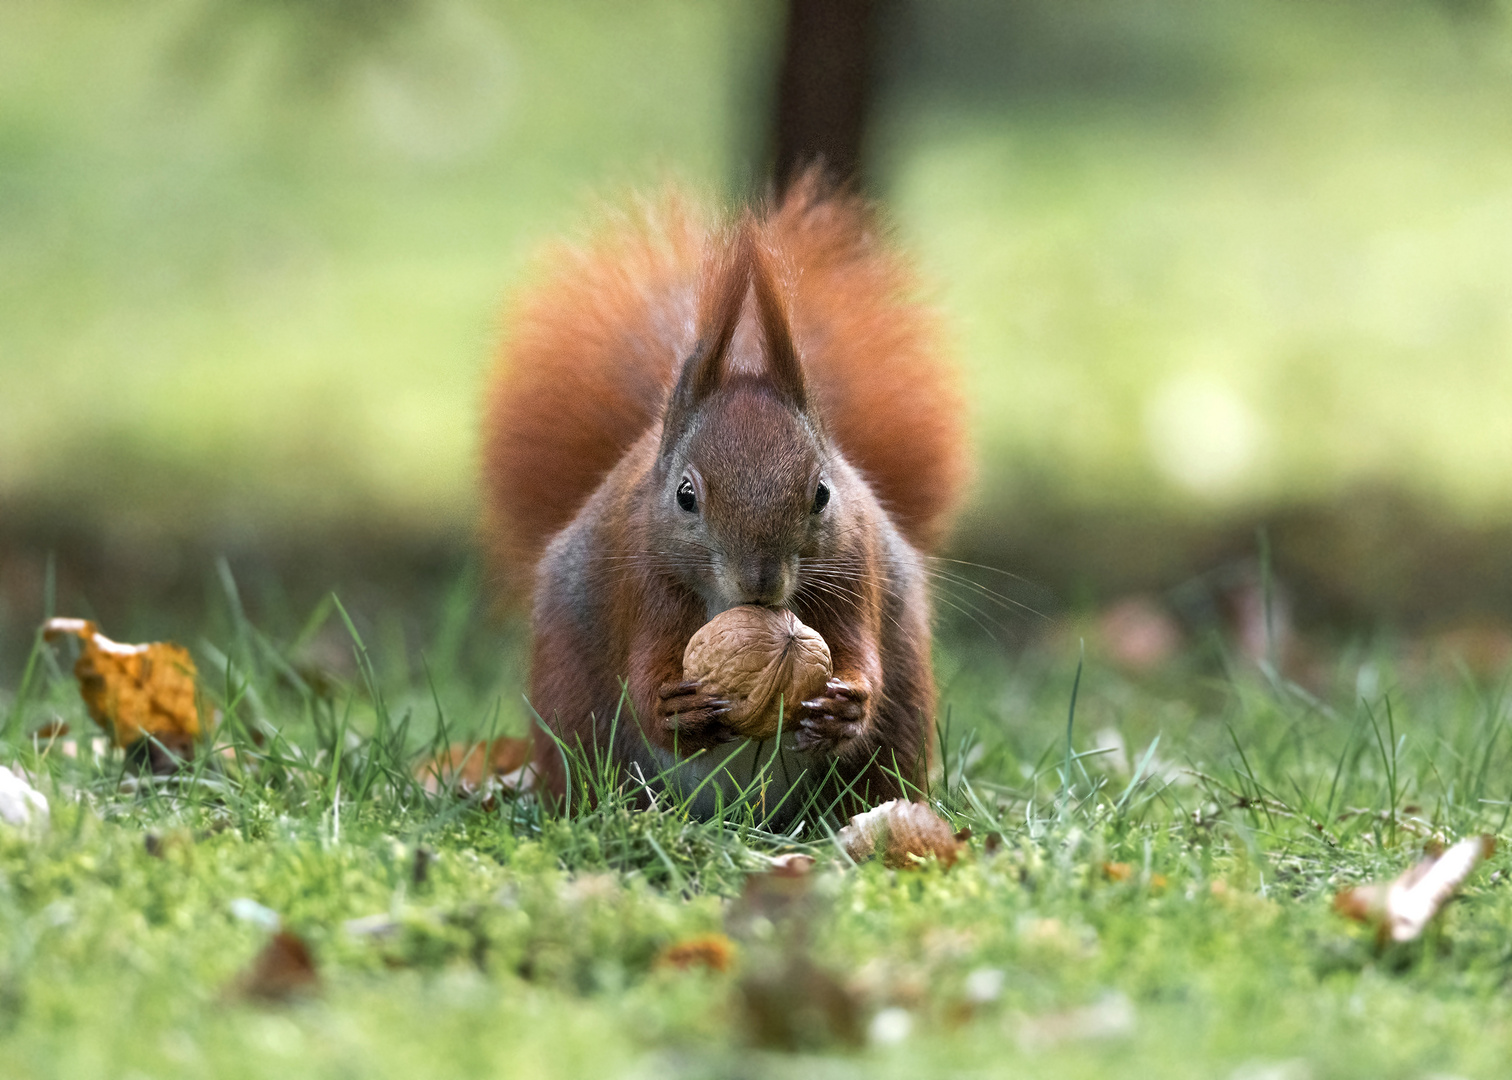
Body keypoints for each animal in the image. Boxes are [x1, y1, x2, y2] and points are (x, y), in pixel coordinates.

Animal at [483, 172, 967, 822]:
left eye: (822, 493)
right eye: (685, 494)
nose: (759, 581)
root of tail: (738, 818)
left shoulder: (854, 563)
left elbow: (859, 651)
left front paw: (847, 707)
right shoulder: (644, 579)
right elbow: (643, 674)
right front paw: (675, 709)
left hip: (905, 714)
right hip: (570, 702)